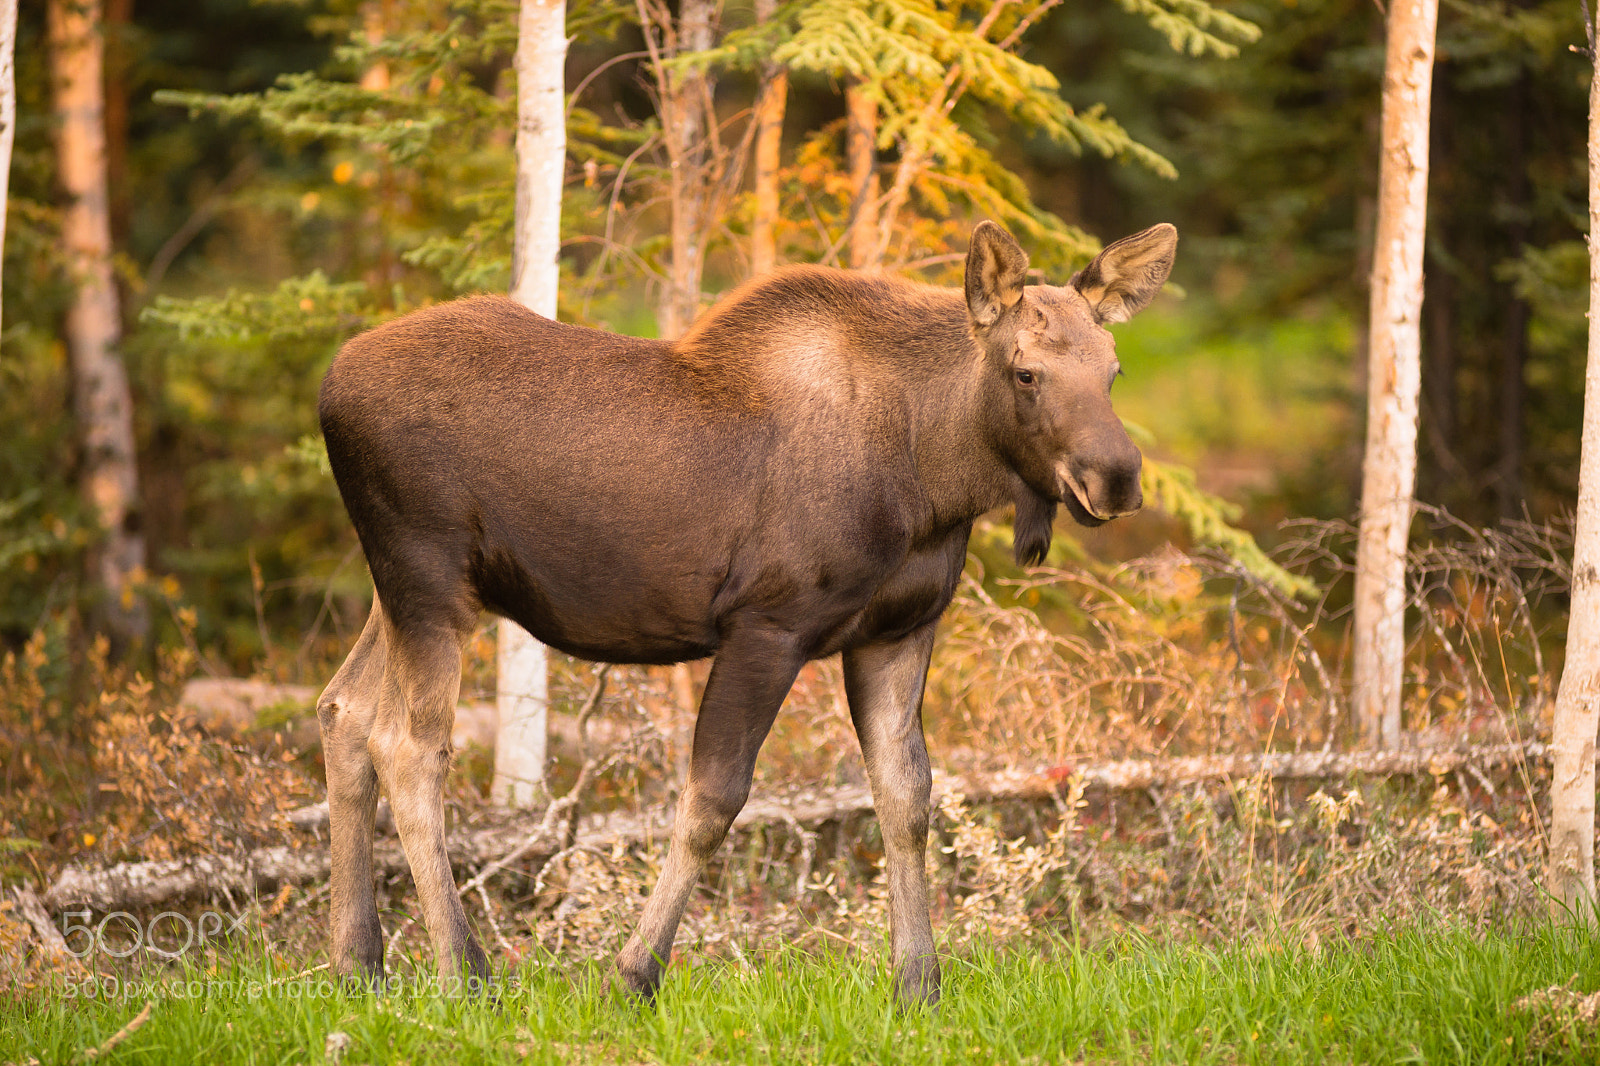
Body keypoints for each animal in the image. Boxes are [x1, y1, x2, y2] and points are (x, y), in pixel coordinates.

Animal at [314, 219, 1177, 1006]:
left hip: (401, 591)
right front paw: (633, 974)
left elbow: (906, 799)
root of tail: (325, 391)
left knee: (343, 709)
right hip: (428, 580)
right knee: (407, 745)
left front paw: (917, 985)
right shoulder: (768, 625)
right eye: (1026, 372)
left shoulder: (898, 631)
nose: (1116, 476)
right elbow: (713, 800)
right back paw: (465, 975)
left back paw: (358, 964)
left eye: (1112, 369)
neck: (936, 476)